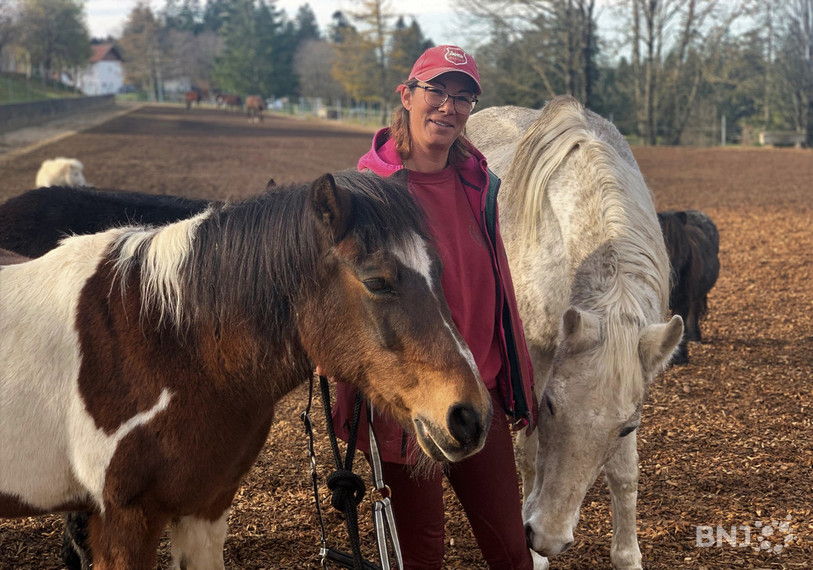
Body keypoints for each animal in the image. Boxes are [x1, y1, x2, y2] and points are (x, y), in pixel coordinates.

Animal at [467, 96, 683, 570]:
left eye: (627, 428)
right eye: (549, 406)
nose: (548, 538)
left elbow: (624, 473)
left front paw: (627, 555)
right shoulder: (533, 362)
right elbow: (529, 455)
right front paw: (533, 554)